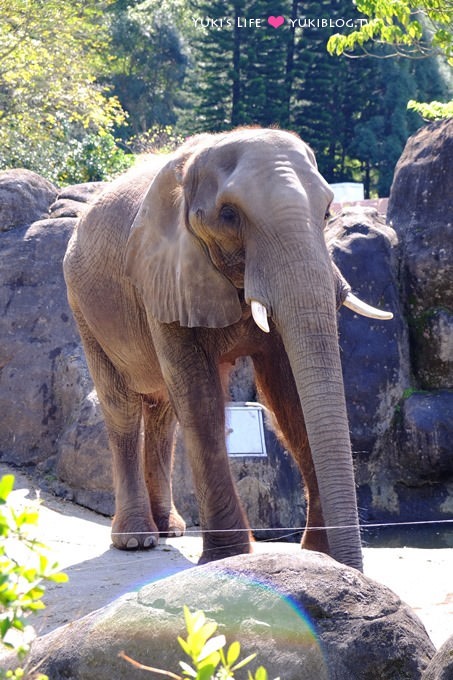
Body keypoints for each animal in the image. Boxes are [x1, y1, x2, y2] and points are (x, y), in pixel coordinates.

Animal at [63, 126, 392, 568]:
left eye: (326, 213)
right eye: (229, 216)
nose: (349, 566)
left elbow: (289, 390)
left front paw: (318, 556)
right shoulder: (162, 274)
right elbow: (199, 395)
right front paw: (228, 558)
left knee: (163, 410)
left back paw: (170, 529)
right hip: (83, 305)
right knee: (123, 406)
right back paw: (136, 539)